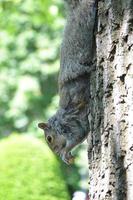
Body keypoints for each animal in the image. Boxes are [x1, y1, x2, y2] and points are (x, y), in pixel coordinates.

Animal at [38, 0, 97, 164]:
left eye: (49, 139)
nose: (56, 153)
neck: (59, 121)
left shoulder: (71, 123)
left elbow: (78, 135)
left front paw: (65, 153)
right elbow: (82, 134)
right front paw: (68, 156)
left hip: (84, 21)